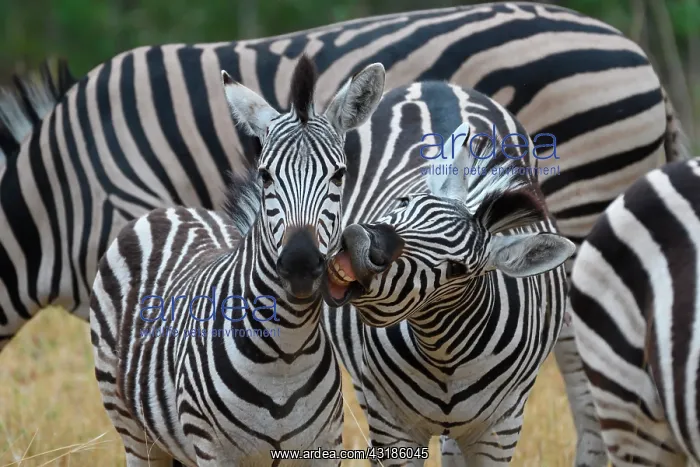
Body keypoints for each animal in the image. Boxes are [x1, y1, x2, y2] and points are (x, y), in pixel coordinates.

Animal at [89, 55, 387, 465]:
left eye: (340, 175)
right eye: (265, 175)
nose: (300, 263)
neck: (285, 356)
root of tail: (166, 210)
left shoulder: (322, 447)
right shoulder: (213, 451)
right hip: (131, 426)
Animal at [324, 119, 576, 465]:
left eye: (456, 269)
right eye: (404, 202)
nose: (361, 243)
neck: (442, 354)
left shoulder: (500, 432)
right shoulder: (391, 422)